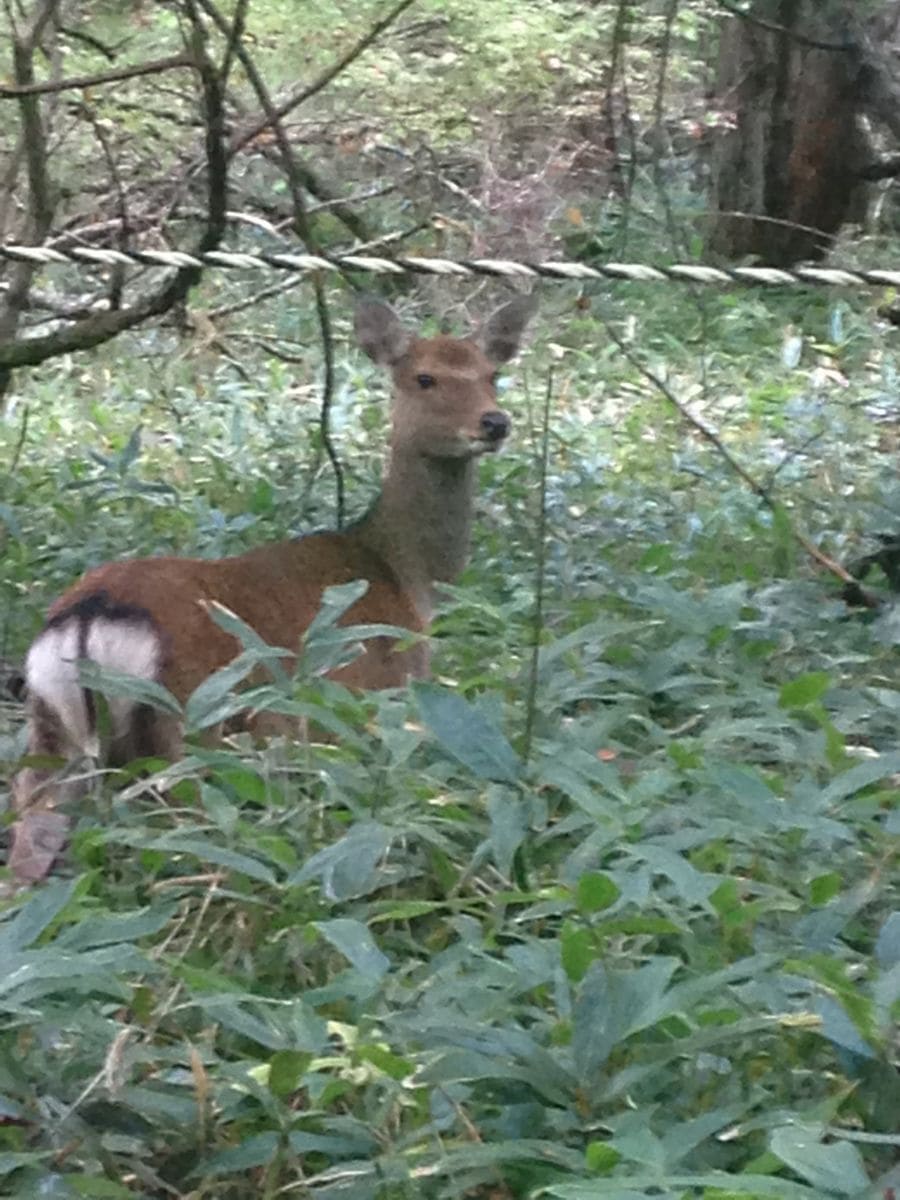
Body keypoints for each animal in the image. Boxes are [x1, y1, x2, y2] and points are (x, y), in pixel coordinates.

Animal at [8, 295, 535, 888]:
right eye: (424, 377)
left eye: (493, 375)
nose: (494, 423)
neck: (405, 576)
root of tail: (87, 617)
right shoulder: (373, 697)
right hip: (190, 719)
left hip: (51, 732)